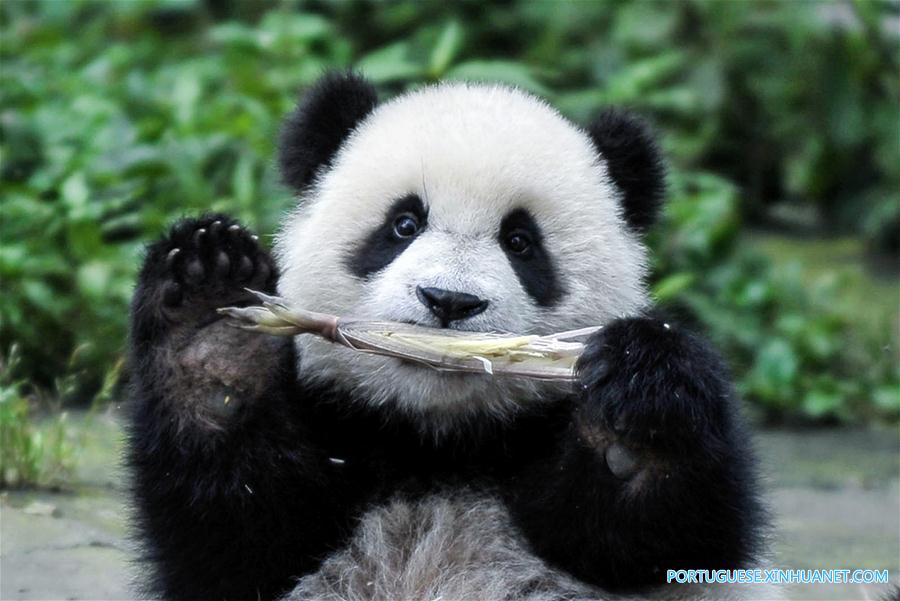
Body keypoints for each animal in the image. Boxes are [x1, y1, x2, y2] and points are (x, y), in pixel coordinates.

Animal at [127, 72, 773, 601]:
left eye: (521, 242)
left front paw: (635, 417)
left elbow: (653, 539)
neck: (437, 440)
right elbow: (239, 532)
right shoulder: (335, 429)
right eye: (403, 224)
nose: (449, 301)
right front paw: (213, 328)